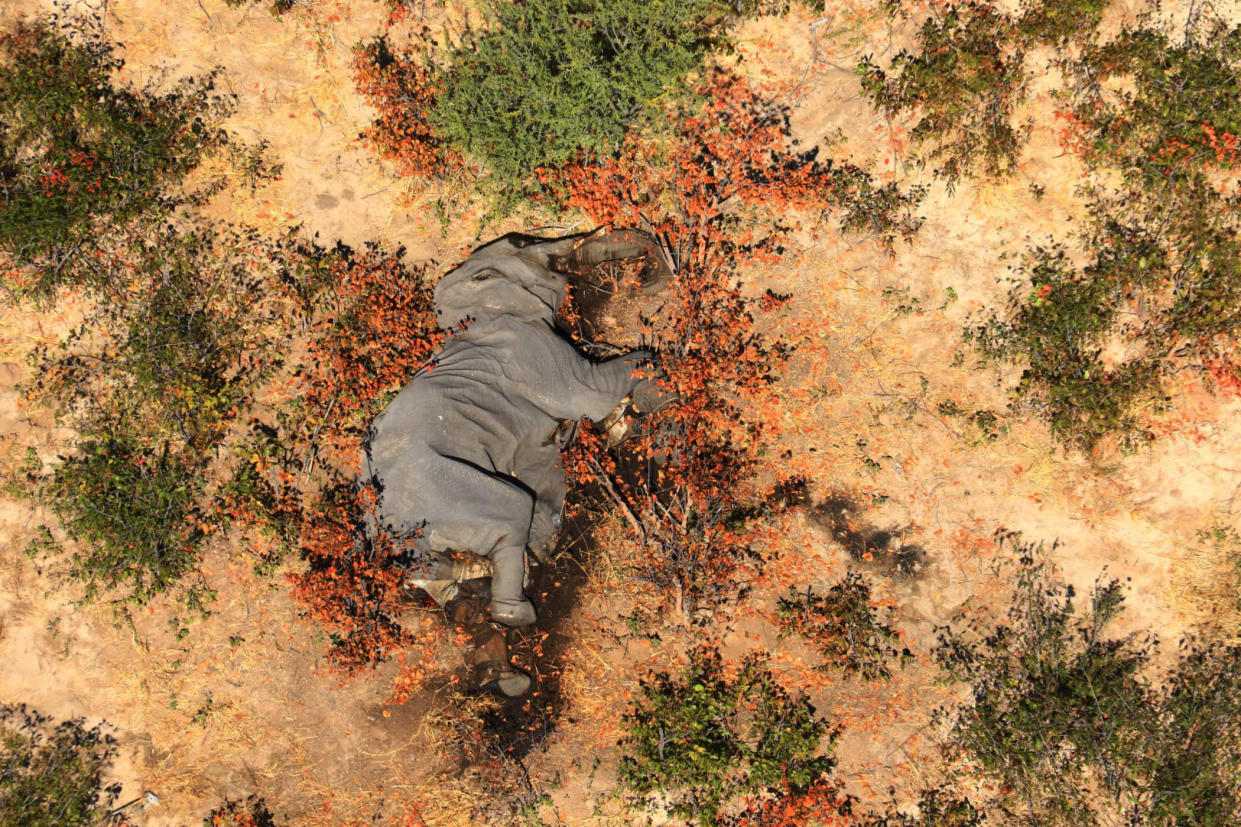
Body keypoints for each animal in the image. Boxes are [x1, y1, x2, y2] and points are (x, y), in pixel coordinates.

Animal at [362, 228, 670, 640]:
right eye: (522, 244)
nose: (646, 276)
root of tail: (383, 524)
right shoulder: (531, 348)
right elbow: (593, 390)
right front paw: (660, 391)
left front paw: (624, 422)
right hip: (449, 489)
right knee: (512, 512)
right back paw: (513, 611)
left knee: (435, 571)